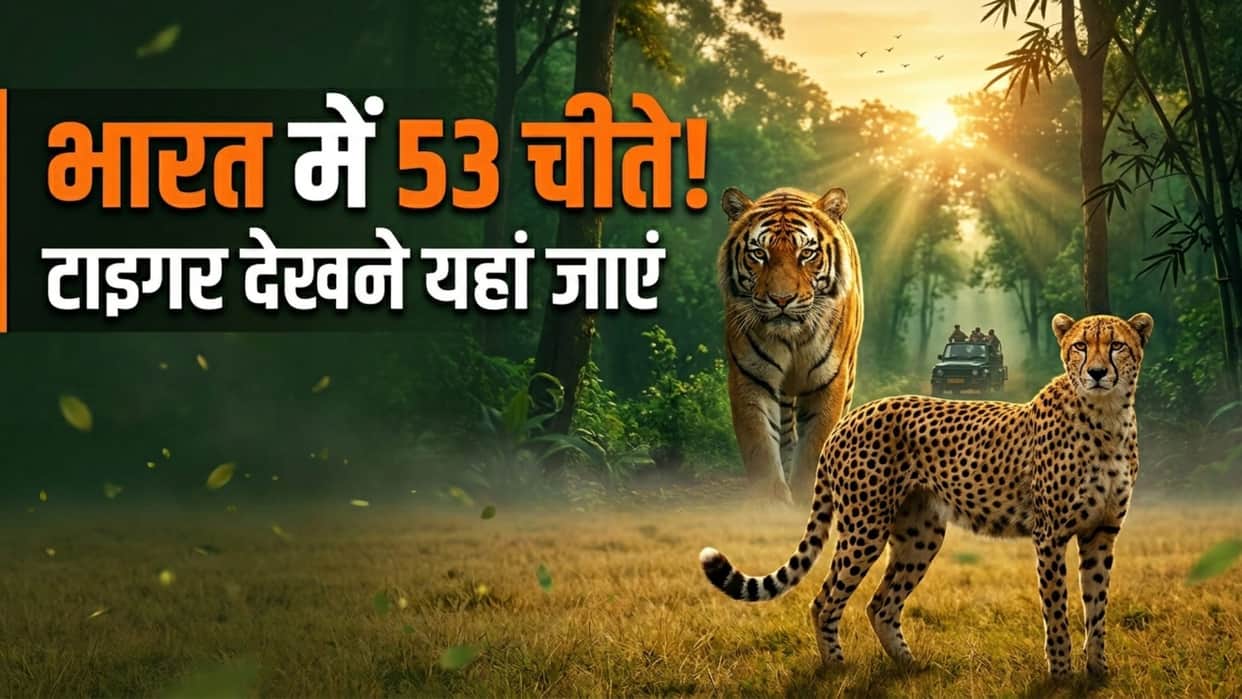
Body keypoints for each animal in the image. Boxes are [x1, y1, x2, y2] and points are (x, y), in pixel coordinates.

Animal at [699, 312, 1154, 678]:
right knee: (825, 600)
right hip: (865, 528)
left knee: (880, 604)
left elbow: (1097, 606)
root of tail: (850, 417)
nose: (1097, 372)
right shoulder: (1051, 535)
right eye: (1080, 346)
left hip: (920, 536)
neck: (1107, 418)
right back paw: (837, 668)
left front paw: (1098, 671)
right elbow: (1056, 609)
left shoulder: (1102, 533)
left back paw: (909, 665)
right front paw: (1060, 674)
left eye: (1116, 345)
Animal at [719, 186, 864, 504]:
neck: (792, 338)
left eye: (806, 254)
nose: (782, 299)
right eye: (759, 254)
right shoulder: (751, 378)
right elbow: (761, 447)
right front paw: (772, 503)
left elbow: (814, 449)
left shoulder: (829, 382)